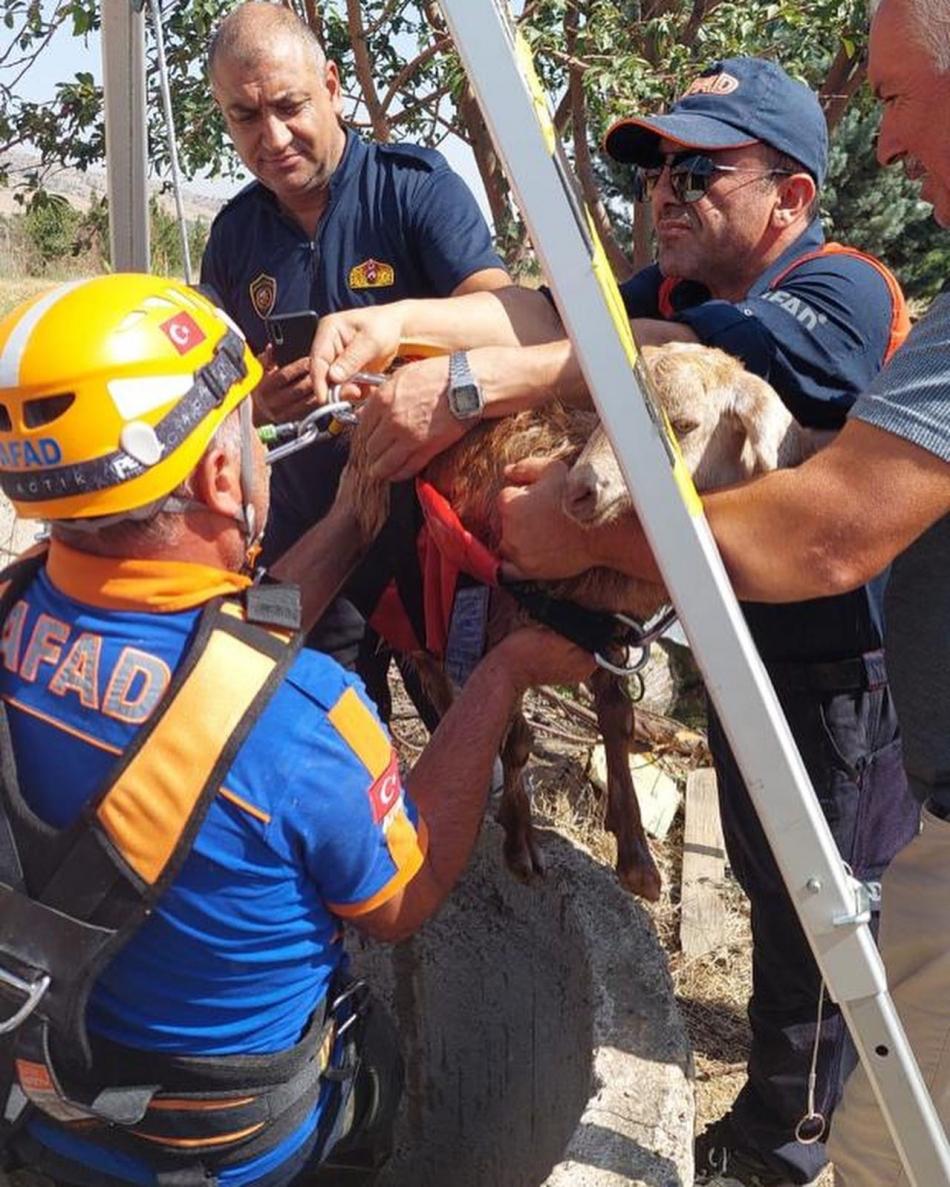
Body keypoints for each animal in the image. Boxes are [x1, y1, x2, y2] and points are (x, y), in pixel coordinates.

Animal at [337, 344, 812, 897]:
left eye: (685, 425)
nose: (581, 490)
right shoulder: (500, 626)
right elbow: (516, 738)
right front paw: (520, 842)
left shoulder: (606, 635)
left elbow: (618, 722)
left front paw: (636, 857)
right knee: (435, 675)